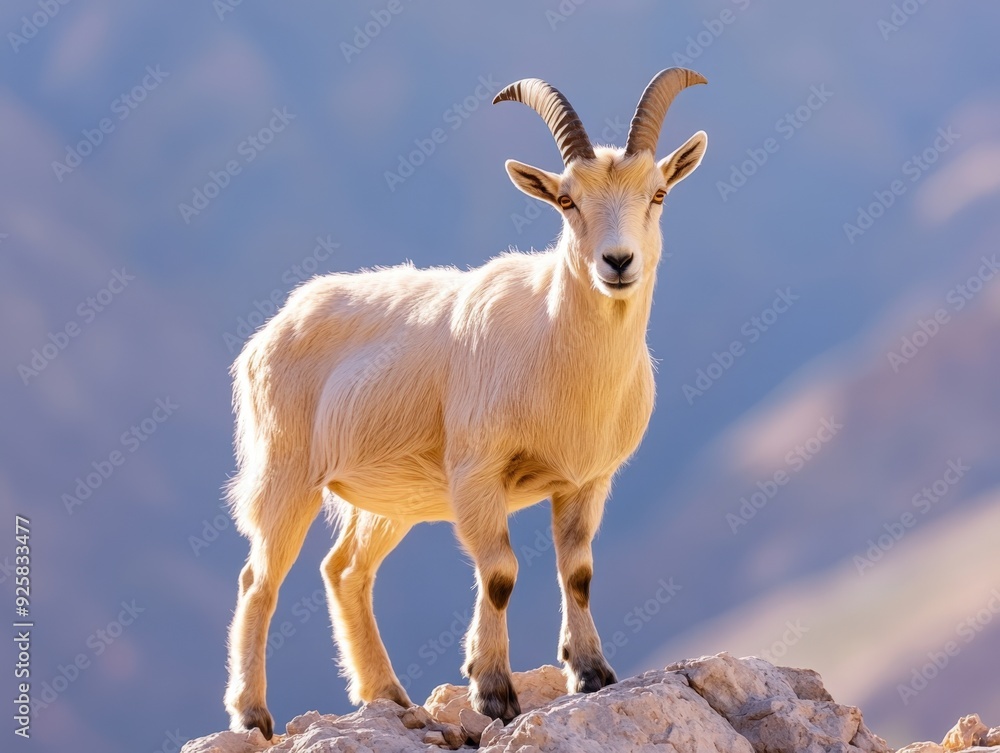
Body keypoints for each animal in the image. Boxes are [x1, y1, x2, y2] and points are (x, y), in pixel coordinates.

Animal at [224, 68, 708, 739]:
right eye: (566, 201)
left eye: (658, 193)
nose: (617, 262)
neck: (552, 348)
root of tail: (269, 332)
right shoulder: (477, 472)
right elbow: (499, 573)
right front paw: (494, 692)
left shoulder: (586, 481)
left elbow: (578, 572)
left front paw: (590, 673)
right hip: (285, 470)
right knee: (259, 578)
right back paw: (252, 713)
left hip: (392, 497)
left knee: (345, 570)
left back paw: (390, 696)